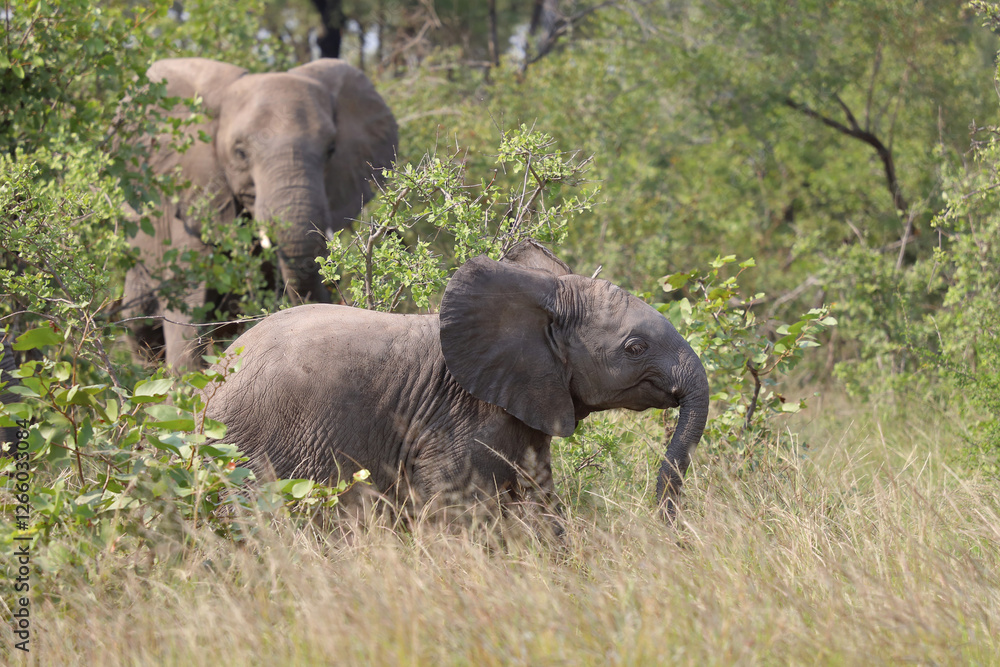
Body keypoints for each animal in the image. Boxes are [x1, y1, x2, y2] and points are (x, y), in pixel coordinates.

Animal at [201, 241, 710, 526]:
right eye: (635, 348)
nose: (665, 527)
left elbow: (542, 503)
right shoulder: (454, 422)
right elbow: (460, 514)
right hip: (249, 451)